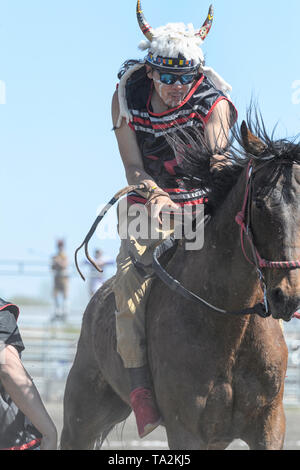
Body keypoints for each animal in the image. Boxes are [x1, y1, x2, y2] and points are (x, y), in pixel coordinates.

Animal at [60, 116, 300, 448]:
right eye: (260, 204)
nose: (287, 295)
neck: (229, 329)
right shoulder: (186, 430)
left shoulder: (270, 424)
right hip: (81, 416)